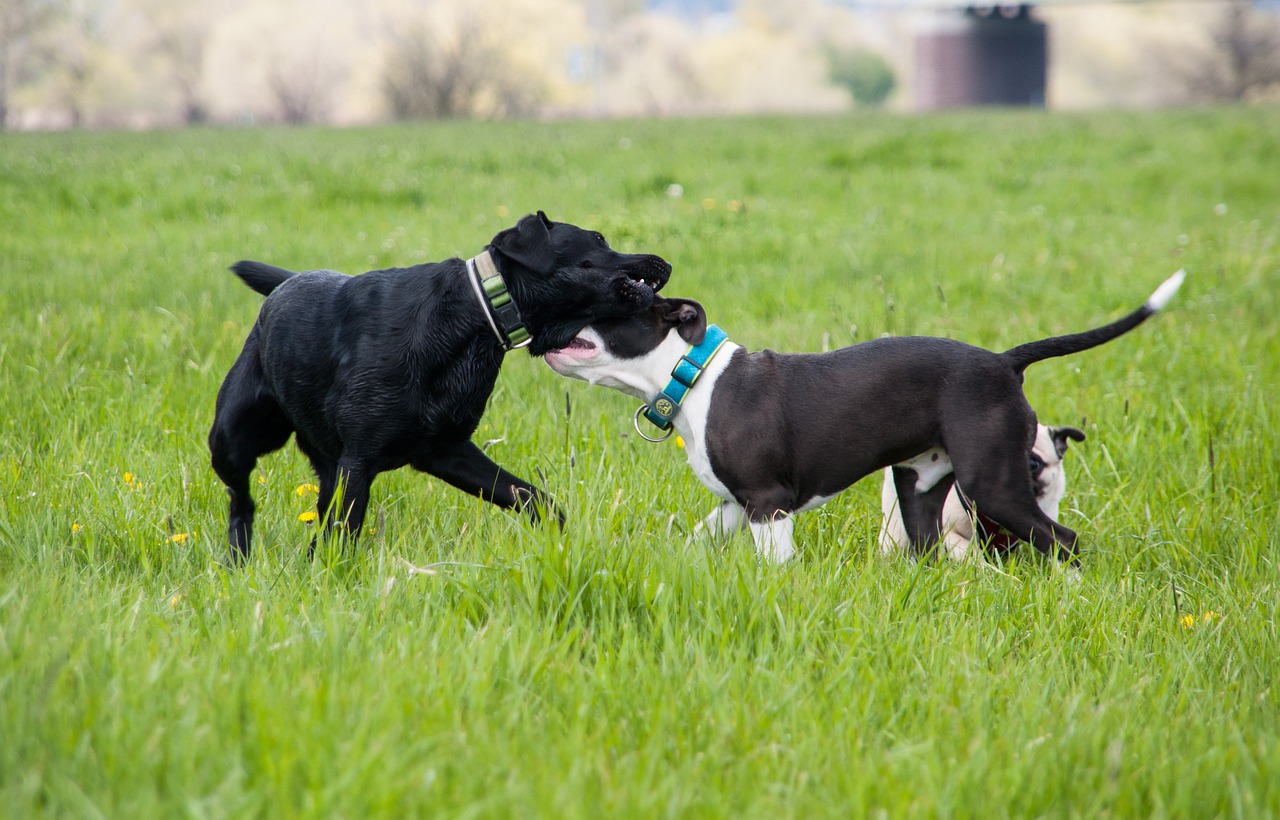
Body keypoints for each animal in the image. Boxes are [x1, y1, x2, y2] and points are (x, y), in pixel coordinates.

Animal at [209, 211, 670, 562]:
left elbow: (538, 499)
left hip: (324, 463)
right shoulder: (358, 462)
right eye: (598, 239)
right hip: (233, 437)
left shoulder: (447, 451)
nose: (663, 262)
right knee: (241, 500)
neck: (473, 319)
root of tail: (285, 284)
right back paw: (238, 559)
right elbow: (345, 533)